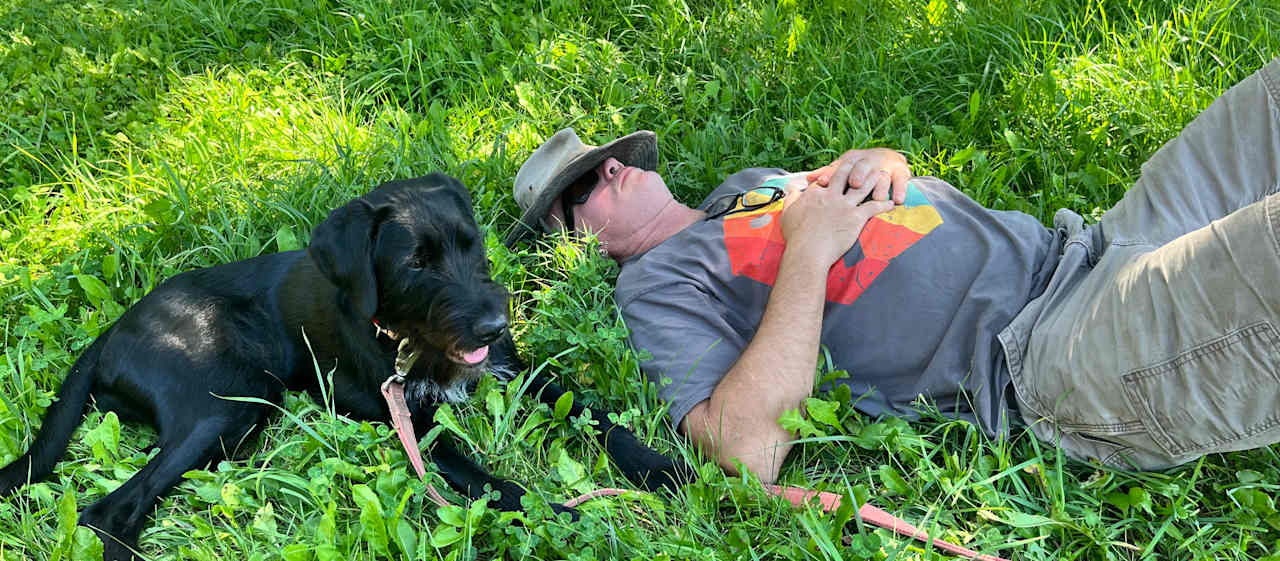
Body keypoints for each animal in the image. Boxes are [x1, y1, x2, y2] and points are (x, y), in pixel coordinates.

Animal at [0, 172, 691, 558]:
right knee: (109, 511)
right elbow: (494, 482)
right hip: (230, 405)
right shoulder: (418, 429)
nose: (494, 325)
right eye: (417, 263)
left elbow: (596, 416)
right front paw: (561, 516)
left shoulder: (513, 371)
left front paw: (665, 469)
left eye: (473, 246)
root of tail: (111, 332)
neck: (409, 340)